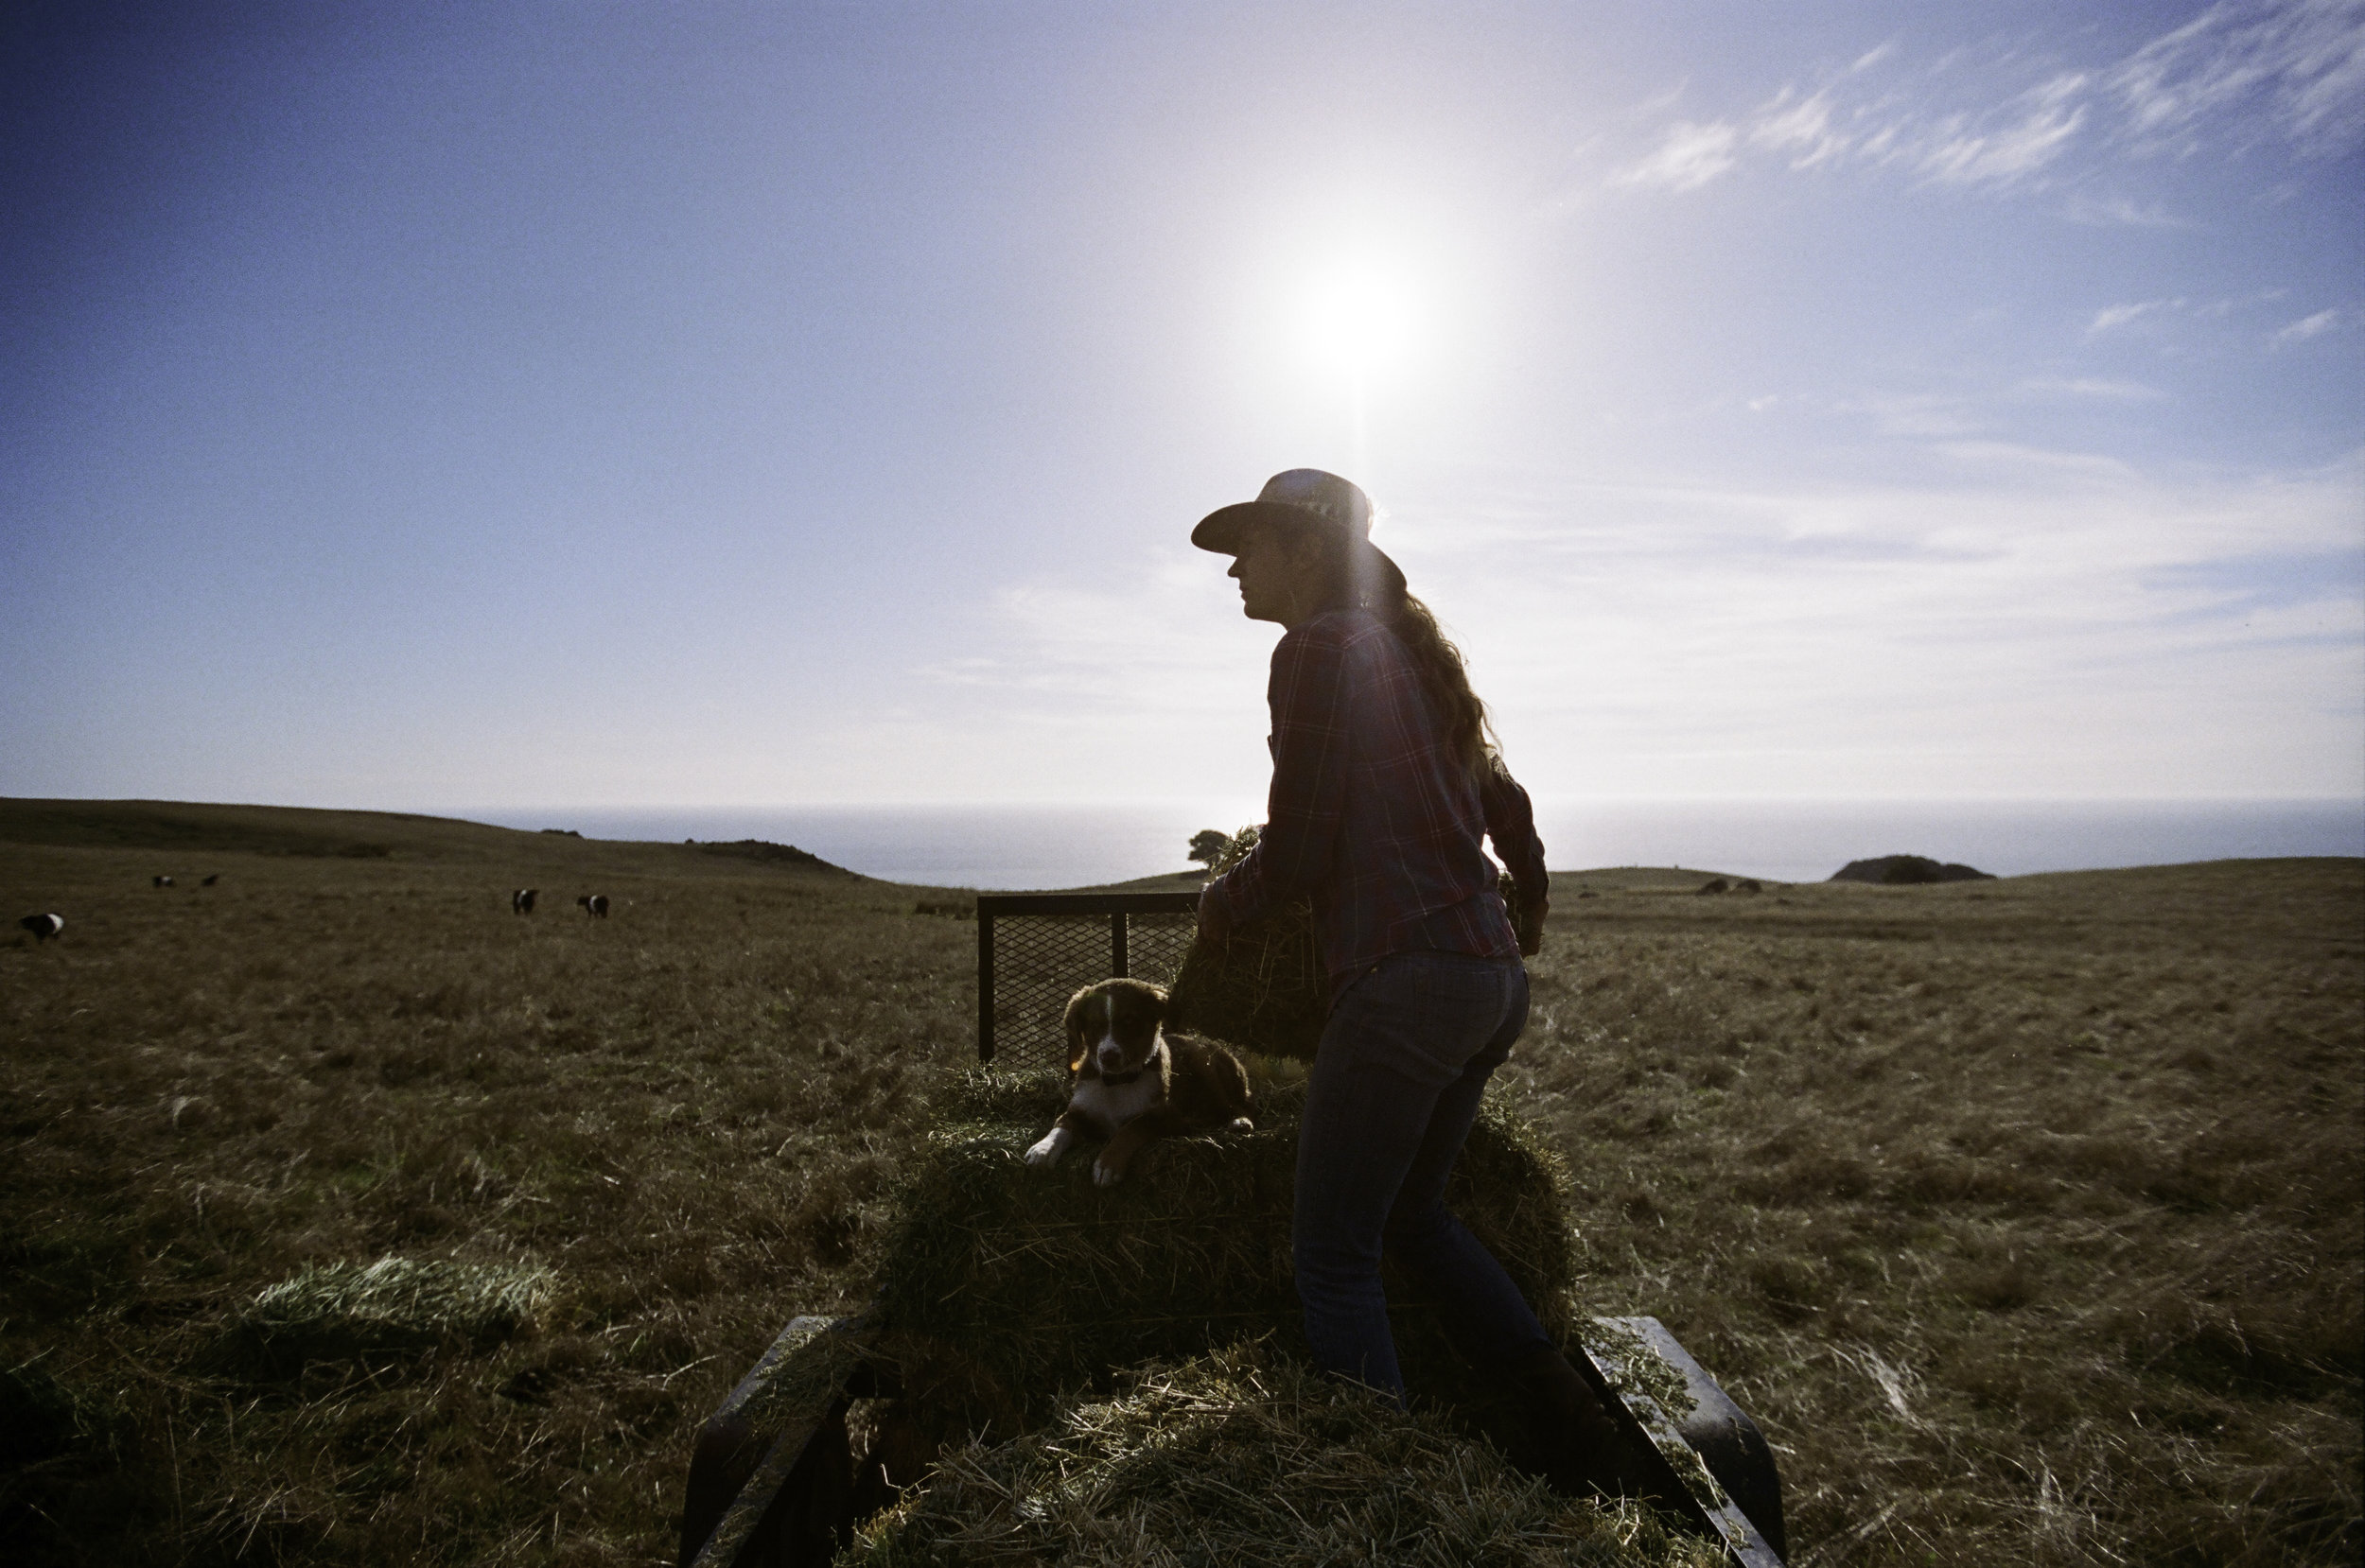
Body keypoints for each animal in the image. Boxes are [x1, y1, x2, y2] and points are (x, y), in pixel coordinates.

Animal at [1031, 974, 1268, 1182]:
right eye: (1094, 1025)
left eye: (1129, 1021)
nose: (1108, 1057)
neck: (1118, 1083)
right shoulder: (1078, 1110)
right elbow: (1062, 1124)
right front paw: (1042, 1149)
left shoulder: (1169, 1118)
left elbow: (1133, 1127)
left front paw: (1108, 1163)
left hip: (1207, 1067)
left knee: (1243, 1105)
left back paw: (1240, 1121)